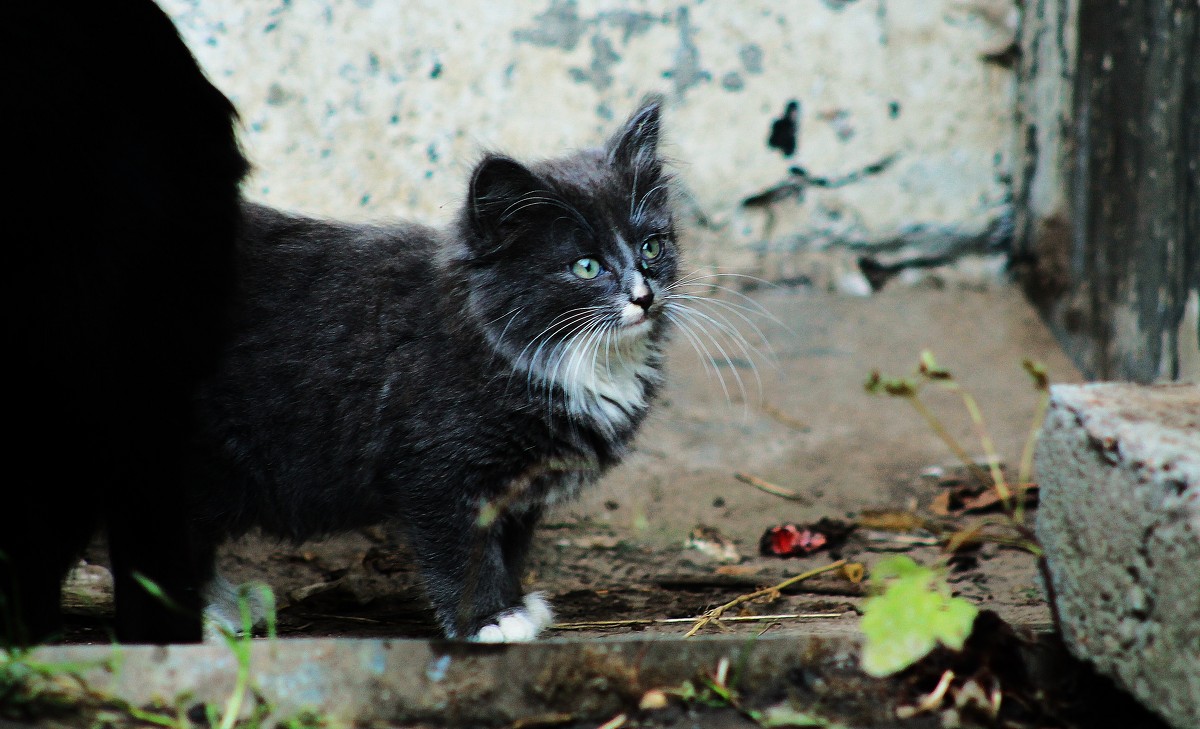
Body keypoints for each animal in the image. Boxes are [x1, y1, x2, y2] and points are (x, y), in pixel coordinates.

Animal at [187, 97, 676, 637]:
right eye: (586, 267)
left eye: (652, 246)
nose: (644, 296)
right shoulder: (436, 472)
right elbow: (463, 551)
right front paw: (488, 620)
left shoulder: (517, 486)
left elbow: (509, 548)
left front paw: (514, 605)